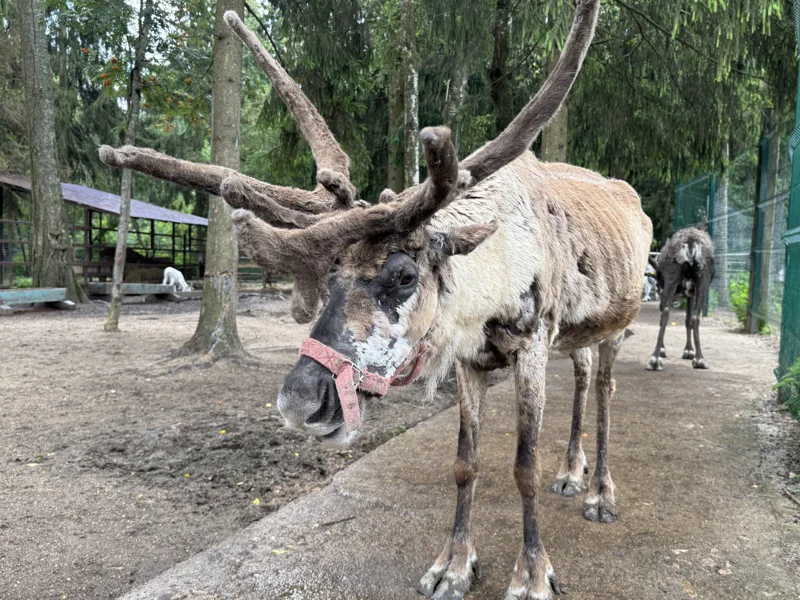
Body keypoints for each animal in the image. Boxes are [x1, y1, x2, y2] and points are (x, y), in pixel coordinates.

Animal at [98, 1, 652, 597]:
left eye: (405, 275)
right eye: (330, 274)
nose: (298, 402)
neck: (489, 283)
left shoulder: (528, 348)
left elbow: (523, 468)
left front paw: (532, 574)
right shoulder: (471, 362)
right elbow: (465, 463)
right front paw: (453, 565)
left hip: (617, 325)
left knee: (605, 391)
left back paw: (600, 493)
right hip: (577, 335)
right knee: (583, 376)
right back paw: (572, 473)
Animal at [646, 222, 715, 372]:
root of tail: (690, 243)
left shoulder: (683, 293)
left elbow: (685, 319)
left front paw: (687, 350)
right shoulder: (690, 294)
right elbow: (688, 319)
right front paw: (689, 350)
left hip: (674, 282)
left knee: (666, 313)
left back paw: (655, 358)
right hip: (701, 283)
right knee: (693, 317)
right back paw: (699, 359)